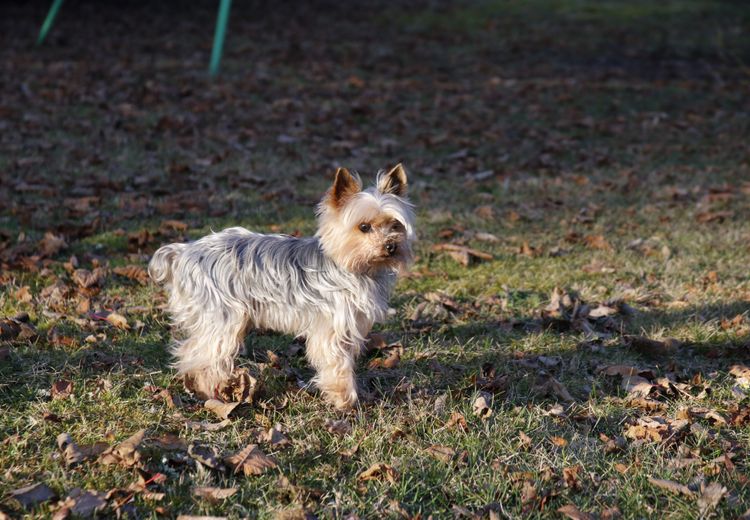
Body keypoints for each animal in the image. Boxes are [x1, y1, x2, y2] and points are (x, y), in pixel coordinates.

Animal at [148, 165, 418, 408]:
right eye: (363, 227)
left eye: (395, 225)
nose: (391, 246)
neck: (353, 267)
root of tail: (184, 253)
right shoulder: (332, 330)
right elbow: (337, 365)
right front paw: (344, 400)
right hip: (223, 316)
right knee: (200, 354)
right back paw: (214, 392)